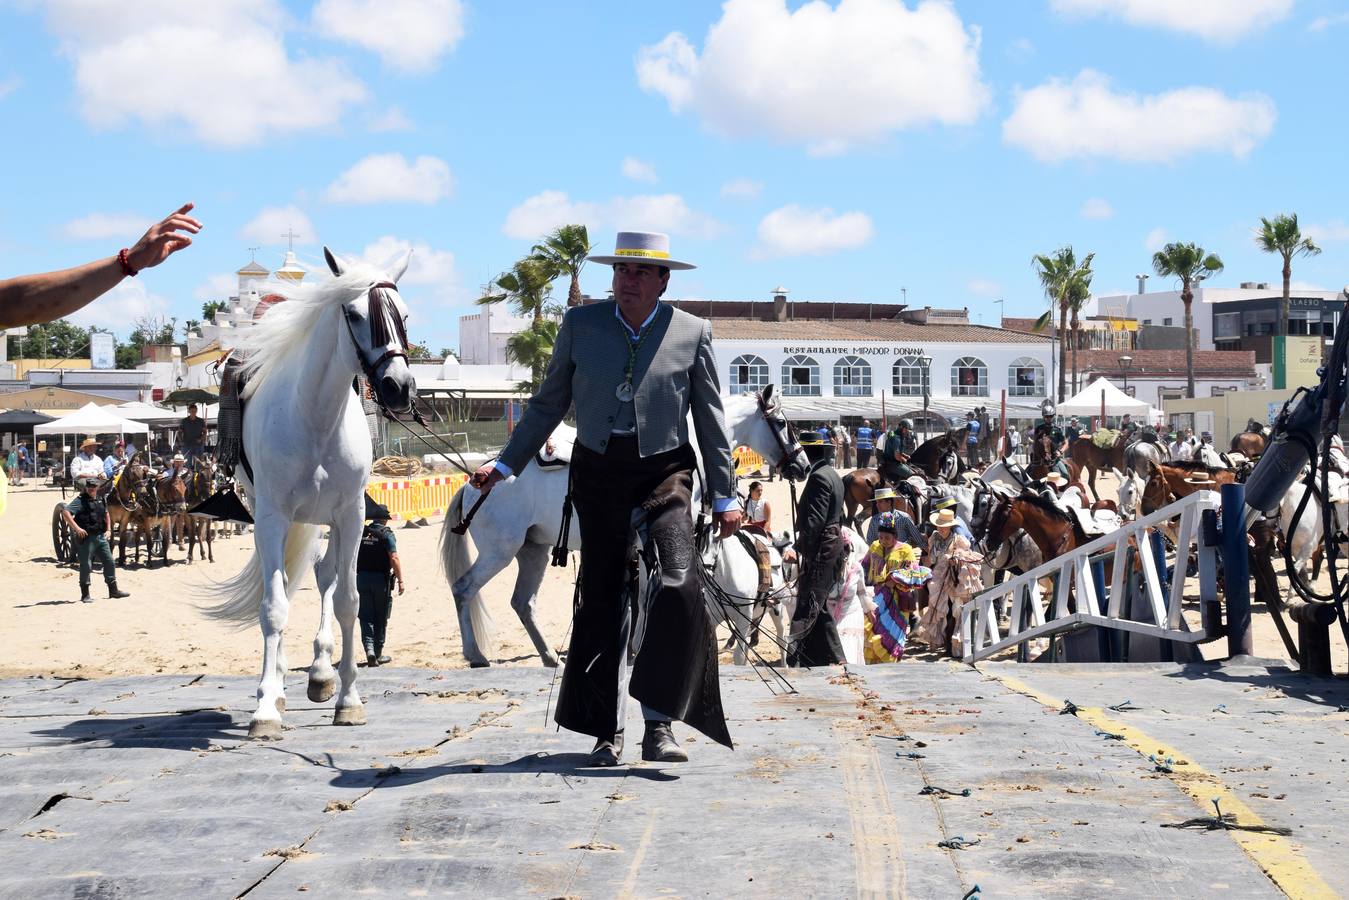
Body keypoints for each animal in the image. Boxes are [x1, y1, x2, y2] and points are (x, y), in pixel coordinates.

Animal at [205, 248, 412, 739]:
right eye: (354, 314)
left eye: (404, 315)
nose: (399, 387)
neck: (316, 416)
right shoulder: (273, 517)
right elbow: (274, 607)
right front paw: (265, 707)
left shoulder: (351, 516)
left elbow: (348, 601)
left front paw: (348, 698)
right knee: (281, 586)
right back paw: (278, 686)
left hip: (325, 521)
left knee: (323, 579)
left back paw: (320, 674)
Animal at [439, 385, 809, 669]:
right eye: (781, 422)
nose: (803, 465)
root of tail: (475, 481)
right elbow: (648, 595)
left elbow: (644, 595)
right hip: (500, 551)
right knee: (463, 589)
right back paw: (475, 655)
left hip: (533, 552)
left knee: (522, 602)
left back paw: (548, 657)